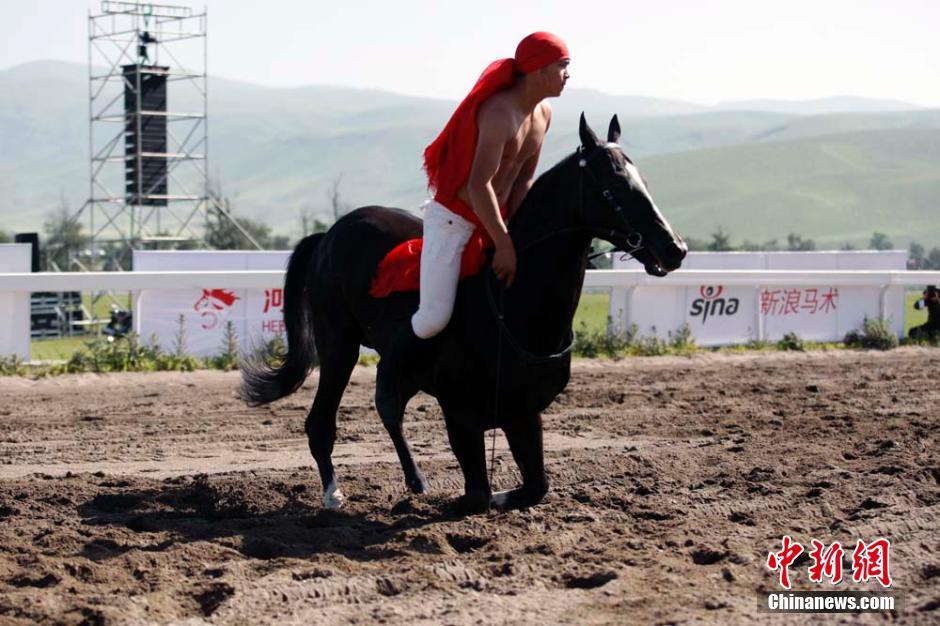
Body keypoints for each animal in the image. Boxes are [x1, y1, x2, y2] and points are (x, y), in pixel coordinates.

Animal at [241, 114, 687, 513]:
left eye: (644, 183)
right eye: (614, 187)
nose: (674, 248)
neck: (514, 306)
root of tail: (330, 234)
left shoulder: (524, 412)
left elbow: (536, 486)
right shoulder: (460, 413)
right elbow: (476, 496)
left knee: (390, 405)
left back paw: (415, 479)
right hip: (339, 344)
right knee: (323, 422)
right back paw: (334, 493)